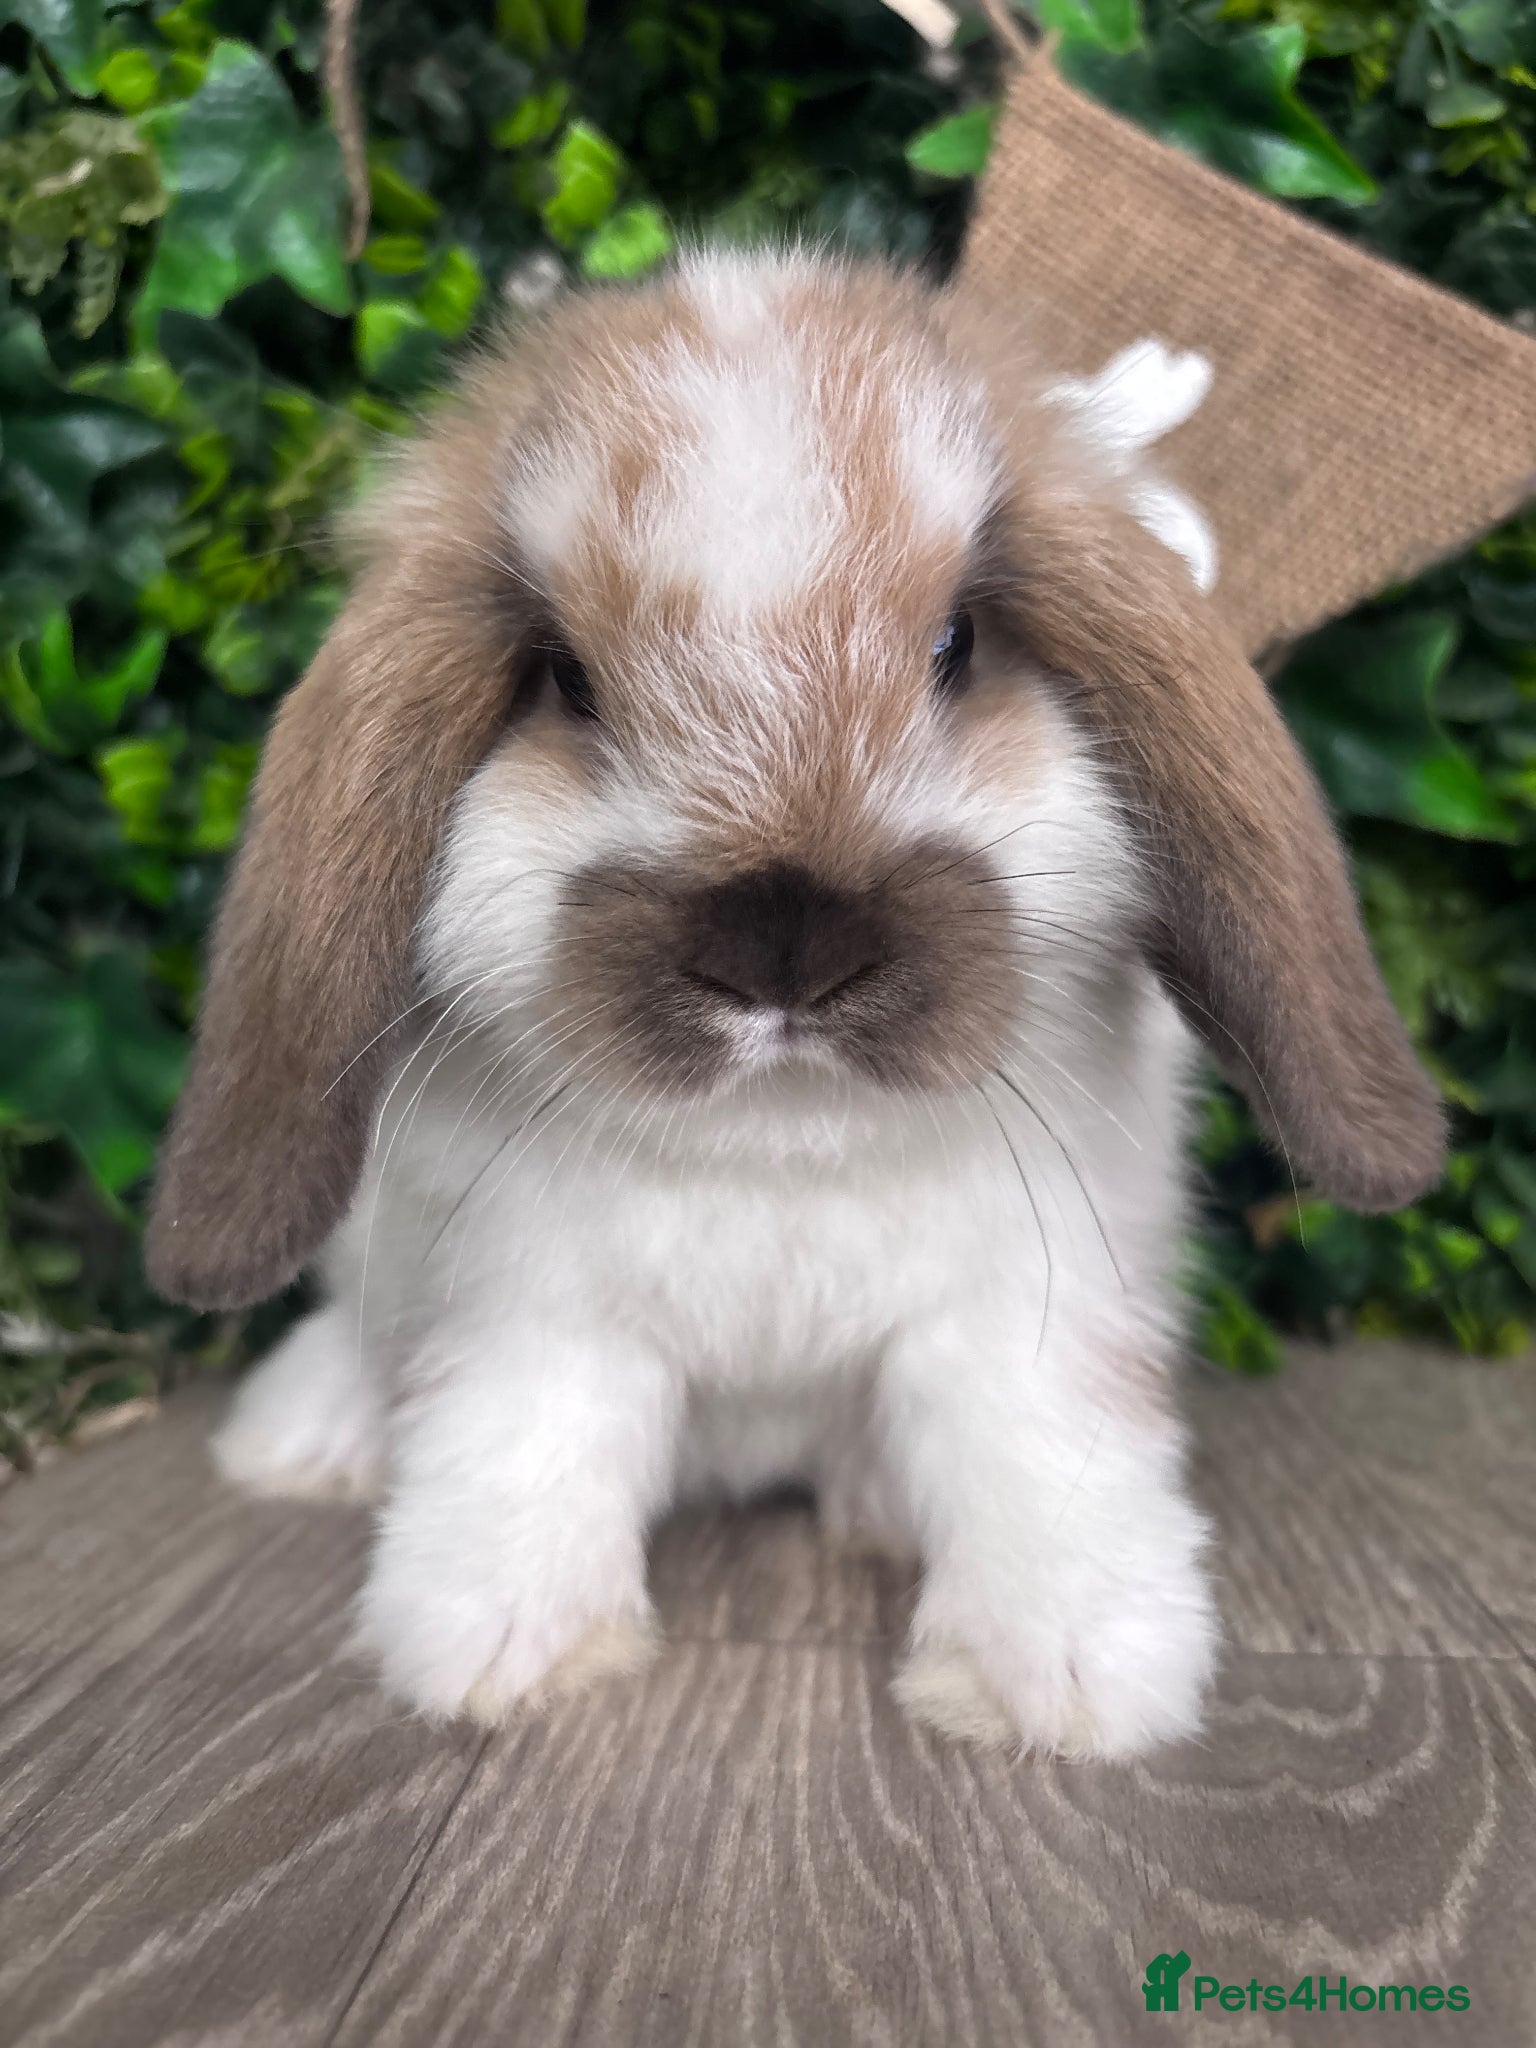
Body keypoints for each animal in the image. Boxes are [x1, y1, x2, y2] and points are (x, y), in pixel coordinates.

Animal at [148, 248, 1442, 1756]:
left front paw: (1063, 1678)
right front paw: (501, 1645)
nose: (784, 942)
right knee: (359, 1343)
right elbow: (524, 1445)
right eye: (567, 680)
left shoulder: (1026, 1305)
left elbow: (1038, 1447)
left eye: (957, 644)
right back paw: (305, 1442)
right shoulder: (534, 1311)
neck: (781, 1136)